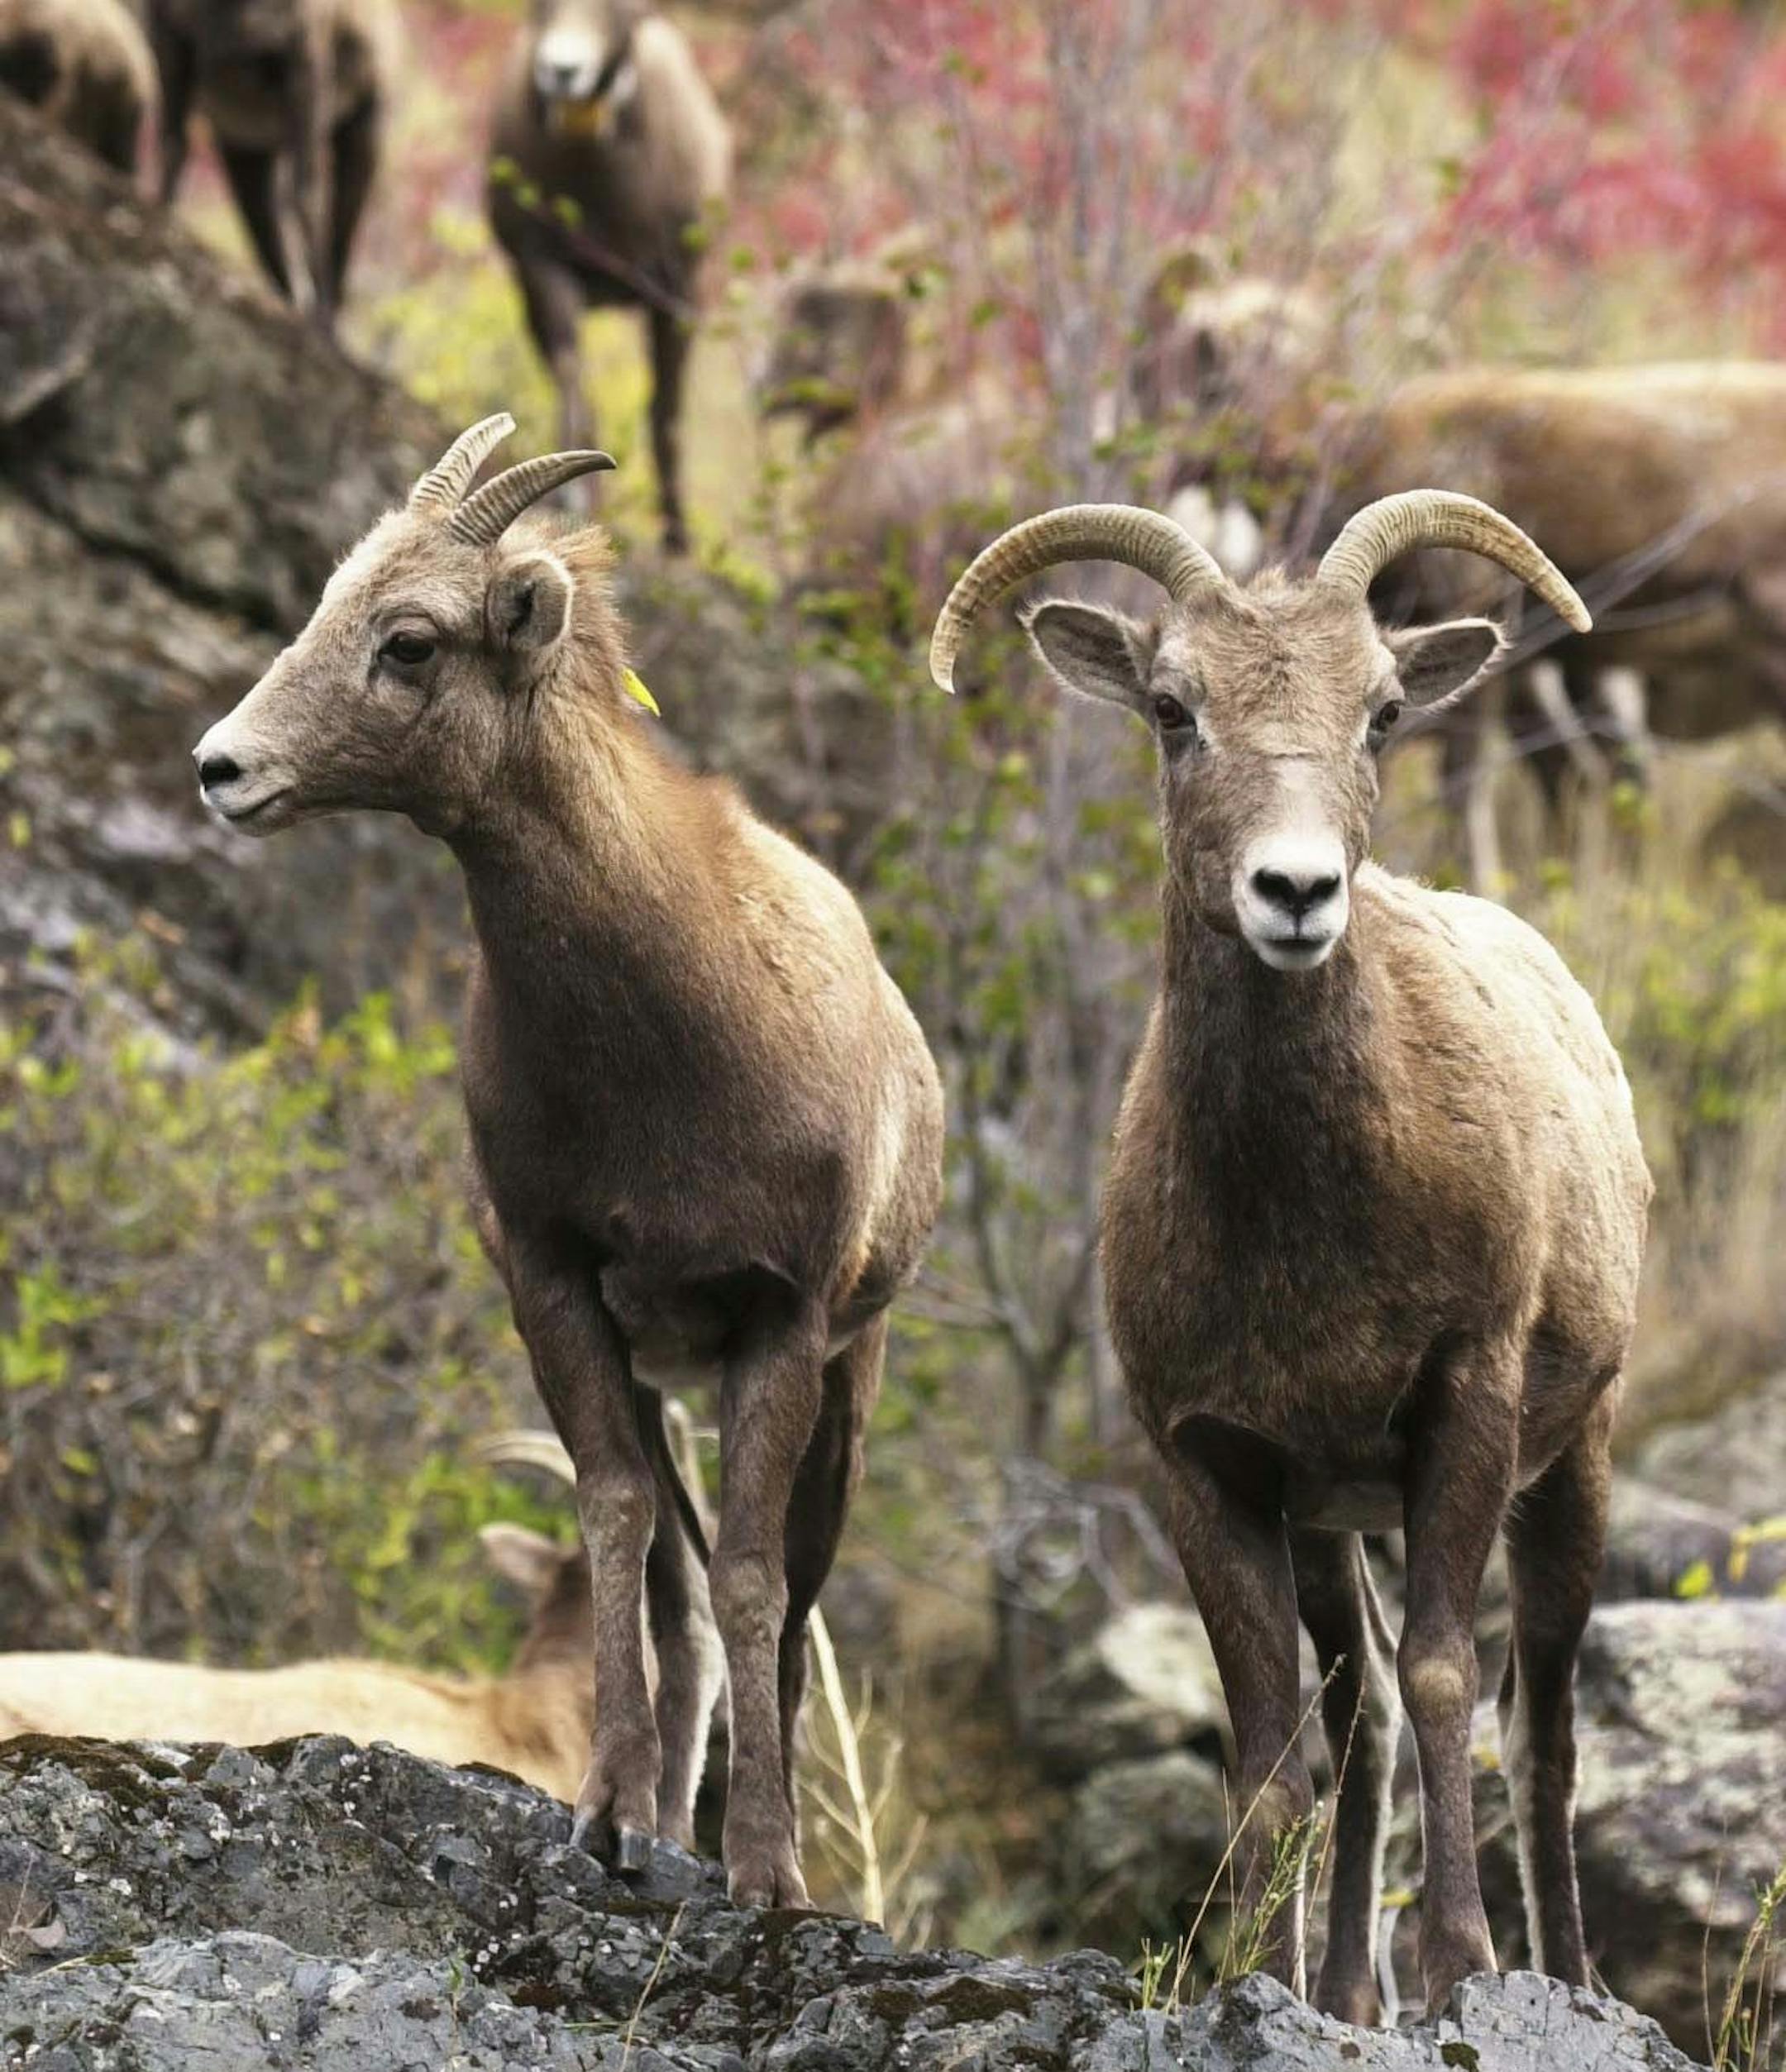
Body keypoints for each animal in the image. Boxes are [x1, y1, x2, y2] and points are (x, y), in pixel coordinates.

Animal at [147, 0, 395, 329]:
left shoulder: (305, 63)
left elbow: (307, 195)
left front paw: (321, 323)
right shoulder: (170, 39)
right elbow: (172, 146)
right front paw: (162, 225)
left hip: (363, 133)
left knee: (337, 239)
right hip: (247, 161)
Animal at [189, 415, 945, 1907]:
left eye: (411, 639)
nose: (221, 769)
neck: (666, 1037)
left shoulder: (782, 1321)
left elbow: (756, 1582)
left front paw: (764, 1875)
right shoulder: (558, 1287)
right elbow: (616, 1526)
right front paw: (608, 1820)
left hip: (847, 1383)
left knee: (782, 1598)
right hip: (664, 1374)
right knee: (676, 1579)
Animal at [488, 0, 731, 555]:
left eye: (620, 10)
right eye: (540, 7)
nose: (562, 70)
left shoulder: (675, 293)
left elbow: (666, 412)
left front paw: (677, 539)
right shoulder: (547, 267)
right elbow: (572, 373)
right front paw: (576, 504)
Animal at [929, 491, 1651, 2019]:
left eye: (1380, 711)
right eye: (1170, 709)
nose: (1297, 891)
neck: (1305, 1227)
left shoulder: (1465, 1401)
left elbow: (1446, 1681)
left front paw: (1461, 1973)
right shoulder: (1215, 1463)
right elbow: (1271, 1752)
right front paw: (1260, 1986)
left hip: (1575, 1463)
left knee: (1540, 1727)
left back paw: (1565, 1977)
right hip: (1331, 1520)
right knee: (1359, 1712)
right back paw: (1343, 1992)